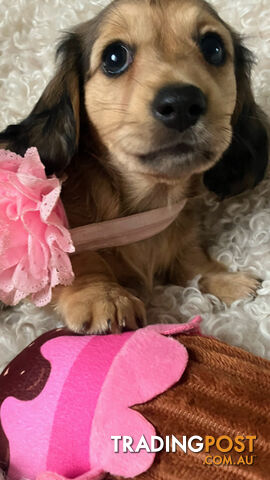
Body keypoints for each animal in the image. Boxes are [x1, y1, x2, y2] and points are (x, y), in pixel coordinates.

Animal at [0, 0, 268, 334]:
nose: (181, 103)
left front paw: (223, 279)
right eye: (114, 57)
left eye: (214, 47)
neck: (145, 204)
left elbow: (191, 262)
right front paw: (105, 295)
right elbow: (77, 260)